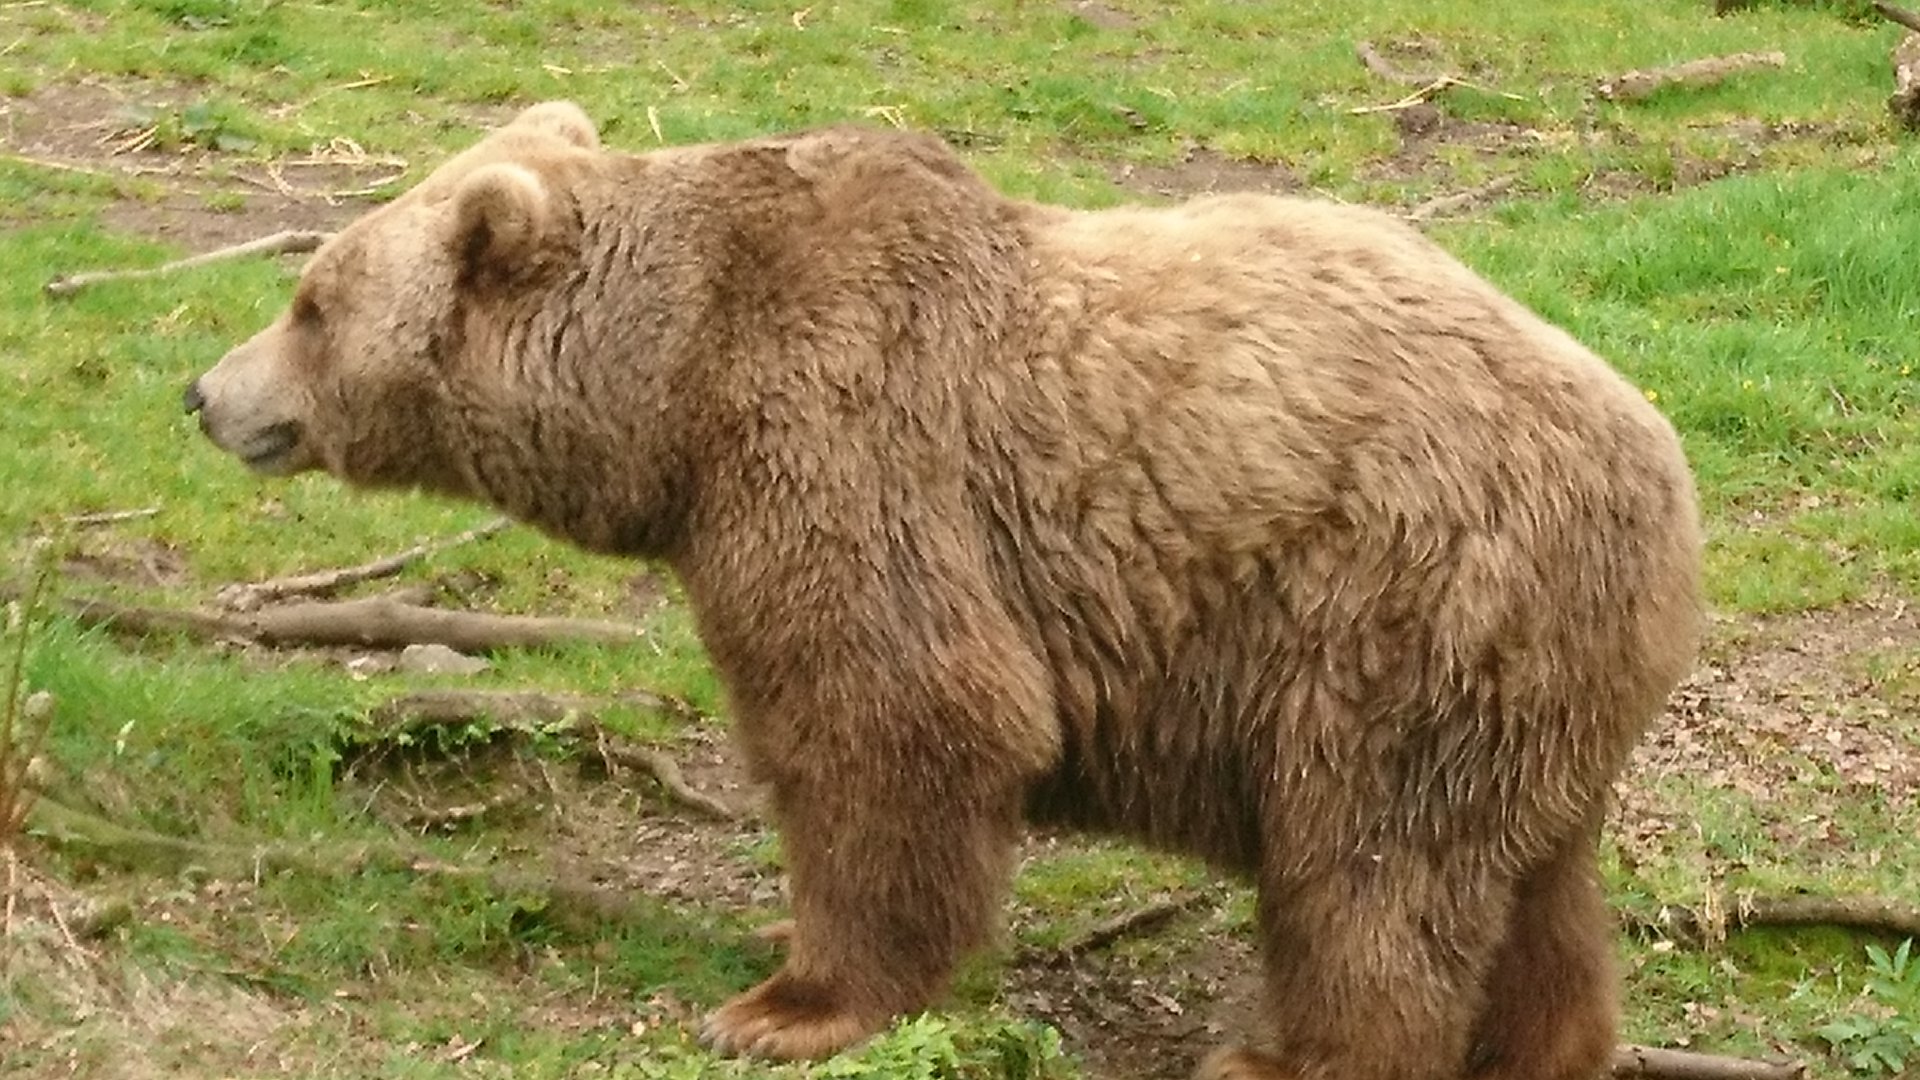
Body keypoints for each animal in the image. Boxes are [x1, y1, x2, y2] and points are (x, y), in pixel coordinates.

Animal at [185, 101, 1703, 1080]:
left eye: (311, 299)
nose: (206, 391)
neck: (673, 389)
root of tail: (1666, 471)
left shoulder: (842, 443)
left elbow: (902, 711)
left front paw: (784, 1004)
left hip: (1398, 607)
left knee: (1368, 871)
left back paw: (1288, 1057)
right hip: (1529, 669)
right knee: (1529, 884)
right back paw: (1545, 1048)